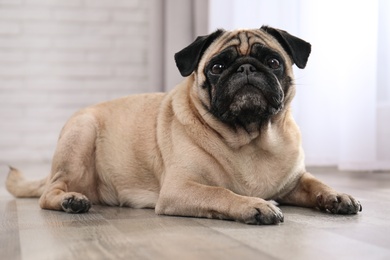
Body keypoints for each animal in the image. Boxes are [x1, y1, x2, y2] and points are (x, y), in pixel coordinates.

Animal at [6, 26, 362, 225]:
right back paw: (71, 200)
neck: (250, 136)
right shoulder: (180, 189)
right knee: (49, 192)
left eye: (273, 62)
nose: (246, 68)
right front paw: (254, 205)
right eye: (217, 67)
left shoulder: (295, 181)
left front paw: (337, 196)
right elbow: (220, 192)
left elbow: (317, 184)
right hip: (81, 135)